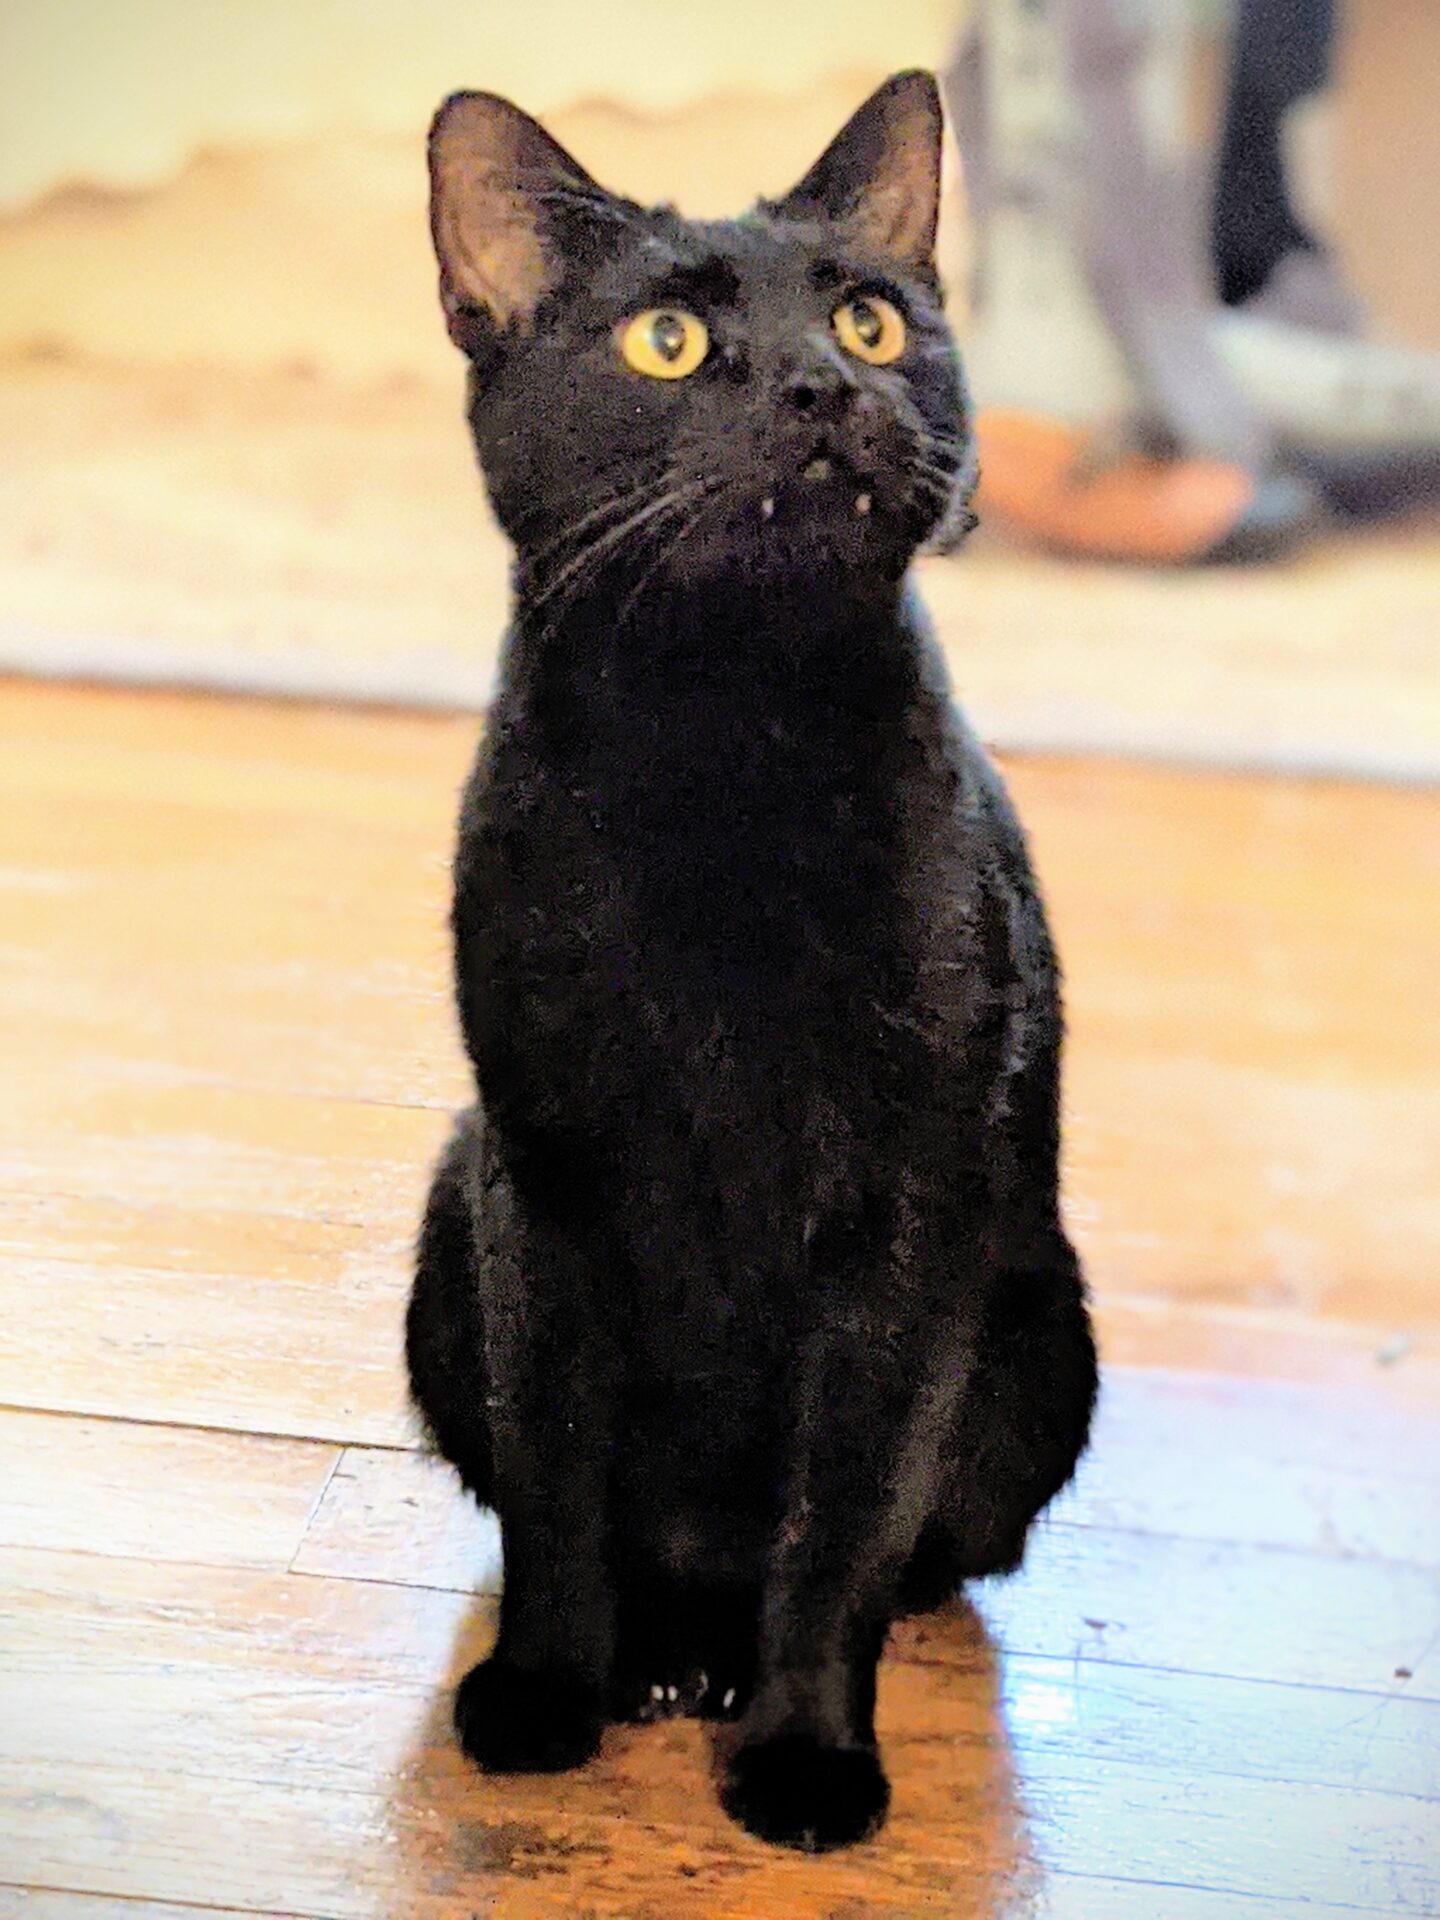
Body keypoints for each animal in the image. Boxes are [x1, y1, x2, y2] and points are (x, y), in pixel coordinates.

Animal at [407, 67, 1090, 1850]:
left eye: (868, 318)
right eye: (667, 341)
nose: (819, 383)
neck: (725, 749)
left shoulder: (908, 1216)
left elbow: (841, 1523)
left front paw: (802, 1757)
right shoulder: (545, 1184)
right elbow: (557, 1482)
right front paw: (547, 1695)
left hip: (1041, 1333)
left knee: (907, 1550)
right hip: (444, 1237)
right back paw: (660, 1653)